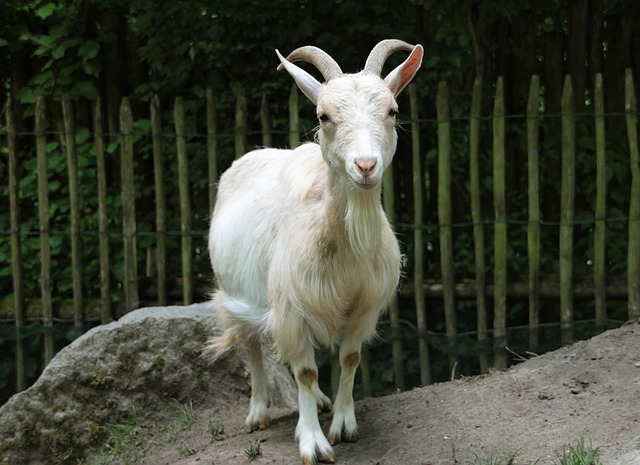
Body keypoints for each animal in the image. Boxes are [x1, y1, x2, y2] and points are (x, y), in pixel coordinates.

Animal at [208, 39, 423, 464]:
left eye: (392, 110)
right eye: (323, 116)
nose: (365, 165)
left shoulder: (362, 304)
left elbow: (348, 358)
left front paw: (343, 423)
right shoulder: (293, 303)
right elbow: (305, 371)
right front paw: (313, 443)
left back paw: (321, 402)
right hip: (234, 294)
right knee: (252, 348)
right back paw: (257, 413)